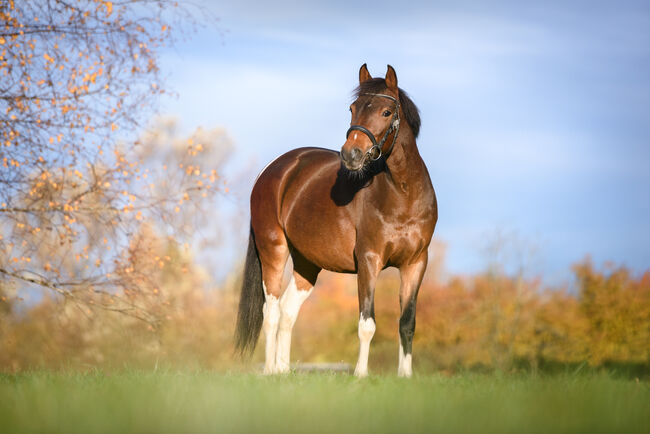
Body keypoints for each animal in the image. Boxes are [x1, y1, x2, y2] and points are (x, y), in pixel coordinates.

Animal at [233, 63, 436, 376]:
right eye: (352, 108)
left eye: (386, 112)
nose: (350, 154)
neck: (404, 195)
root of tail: (275, 169)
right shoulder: (369, 260)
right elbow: (367, 323)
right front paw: (361, 375)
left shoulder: (416, 263)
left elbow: (407, 323)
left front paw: (405, 376)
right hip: (273, 250)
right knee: (272, 310)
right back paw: (268, 370)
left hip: (307, 263)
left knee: (288, 311)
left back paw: (283, 371)